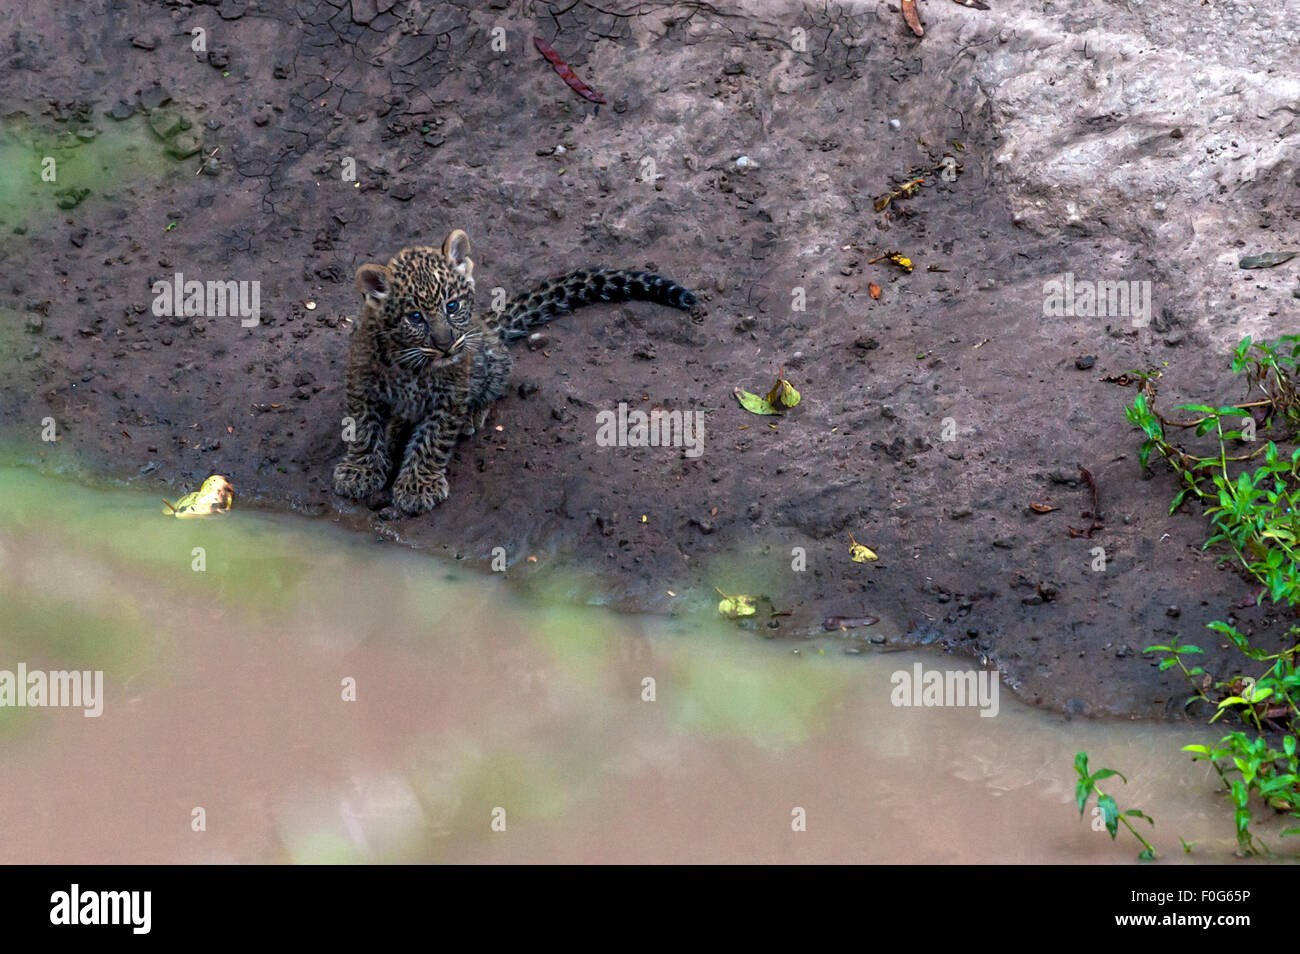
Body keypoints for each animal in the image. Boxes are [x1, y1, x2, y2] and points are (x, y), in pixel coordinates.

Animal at [331, 228, 704, 514]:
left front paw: (417, 487)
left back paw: (470, 417)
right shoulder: (362, 386)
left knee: (495, 383)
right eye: (415, 318)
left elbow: (431, 442)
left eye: (452, 306)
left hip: (490, 363)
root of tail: (487, 324)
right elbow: (363, 431)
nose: (447, 345)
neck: (413, 365)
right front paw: (360, 472)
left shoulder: (448, 398)